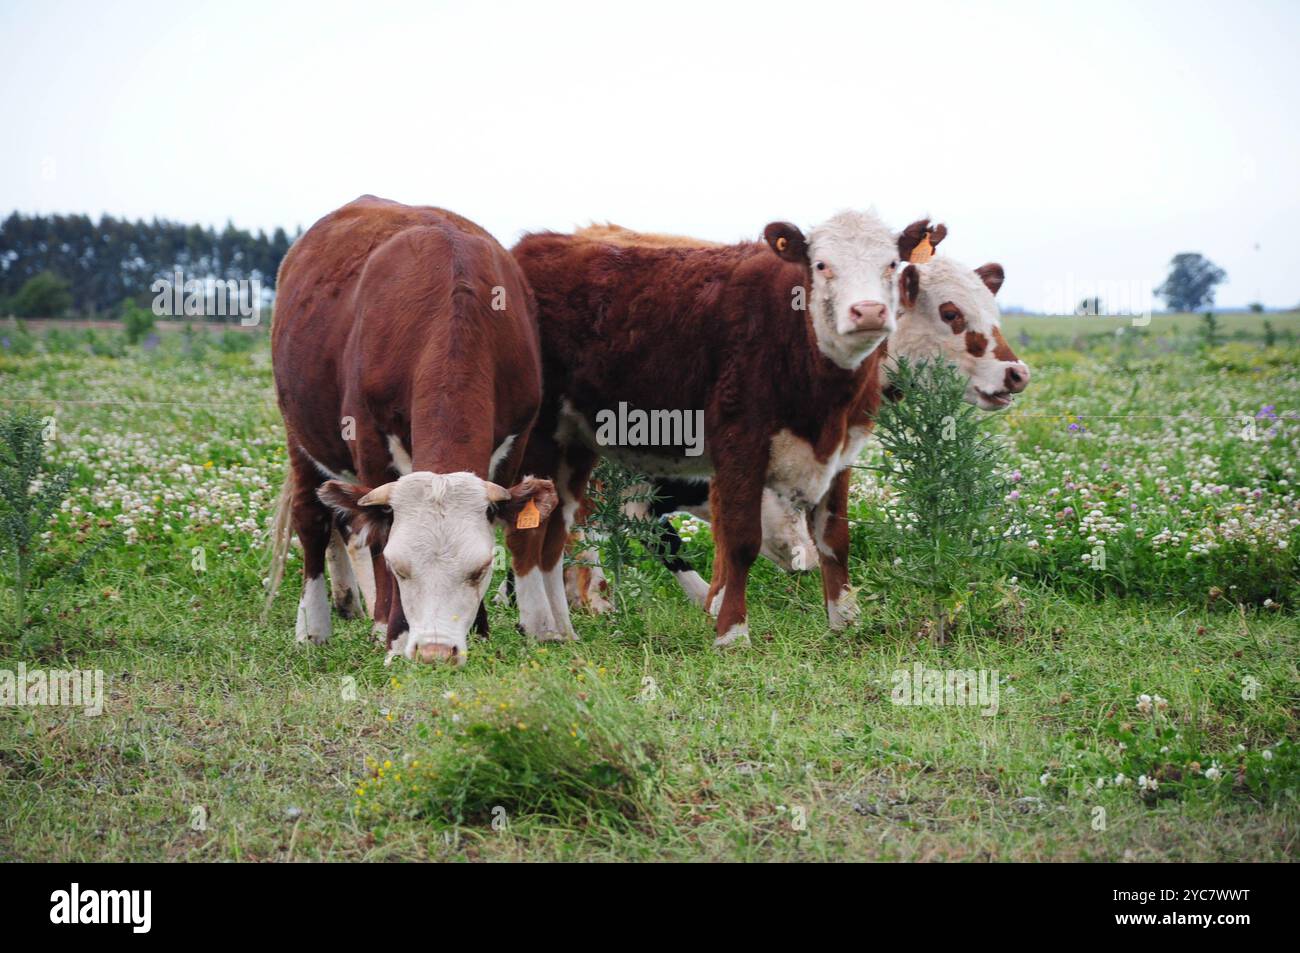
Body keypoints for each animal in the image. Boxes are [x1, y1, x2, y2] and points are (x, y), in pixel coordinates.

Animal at [264, 195, 561, 666]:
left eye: (480, 570)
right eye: (400, 568)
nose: (436, 652)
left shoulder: (516, 440)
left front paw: (479, 630)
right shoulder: (368, 441)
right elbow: (376, 537)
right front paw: (393, 633)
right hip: (299, 432)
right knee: (312, 519)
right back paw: (314, 626)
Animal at [508, 209, 905, 647]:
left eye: (893, 265)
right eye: (821, 265)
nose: (869, 311)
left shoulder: (837, 454)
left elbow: (832, 537)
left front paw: (844, 620)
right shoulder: (730, 452)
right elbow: (720, 541)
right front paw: (726, 626)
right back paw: (538, 624)